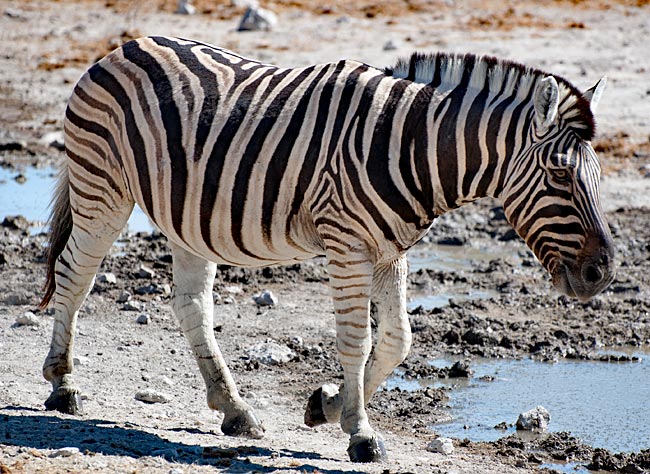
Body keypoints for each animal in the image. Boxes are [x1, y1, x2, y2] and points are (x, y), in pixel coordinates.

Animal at [39, 36, 615, 463]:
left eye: (597, 176)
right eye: (561, 175)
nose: (602, 274)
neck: (413, 149)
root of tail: (122, 48)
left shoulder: (390, 250)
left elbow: (398, 341)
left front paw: (328, 405)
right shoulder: (348, 245)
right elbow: (357, 341)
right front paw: (361, 433)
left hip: (187, 219)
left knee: (191, 306)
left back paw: (234, 410)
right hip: (102, 189)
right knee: (73, 274)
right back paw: (63, 385)